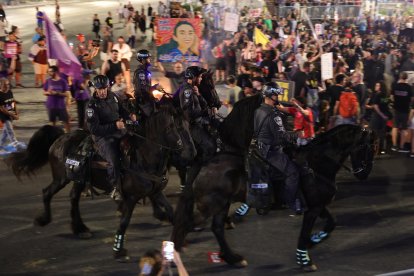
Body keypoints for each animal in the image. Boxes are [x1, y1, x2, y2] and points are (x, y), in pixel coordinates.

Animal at [7, 105, 196, 260]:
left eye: (189, 126)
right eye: (178, 127)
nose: (192, 153)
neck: (142, 155)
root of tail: (60, 138)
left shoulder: (155, 191)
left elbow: (171, 211)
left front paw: (180, 238)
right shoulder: (131, 197)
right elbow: (125, 221)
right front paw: (118, 250)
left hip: (79, 179)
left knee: (73, 197)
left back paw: (80, 229)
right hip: (62, 178)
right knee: (48, 192)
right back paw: (44, 220)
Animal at [171, 94, 376, 270]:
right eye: (366, 147)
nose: (364, 173)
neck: (316, 165)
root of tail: (206, 163)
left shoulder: (317, 205)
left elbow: (331, 223)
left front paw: (315, 239)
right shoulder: (312, 209)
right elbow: (305, 232)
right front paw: (305, 259)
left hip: (221, 205)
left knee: (217, 228)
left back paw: (233, 258)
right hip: (212, 205)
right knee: (189, 224)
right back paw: (175, 255)